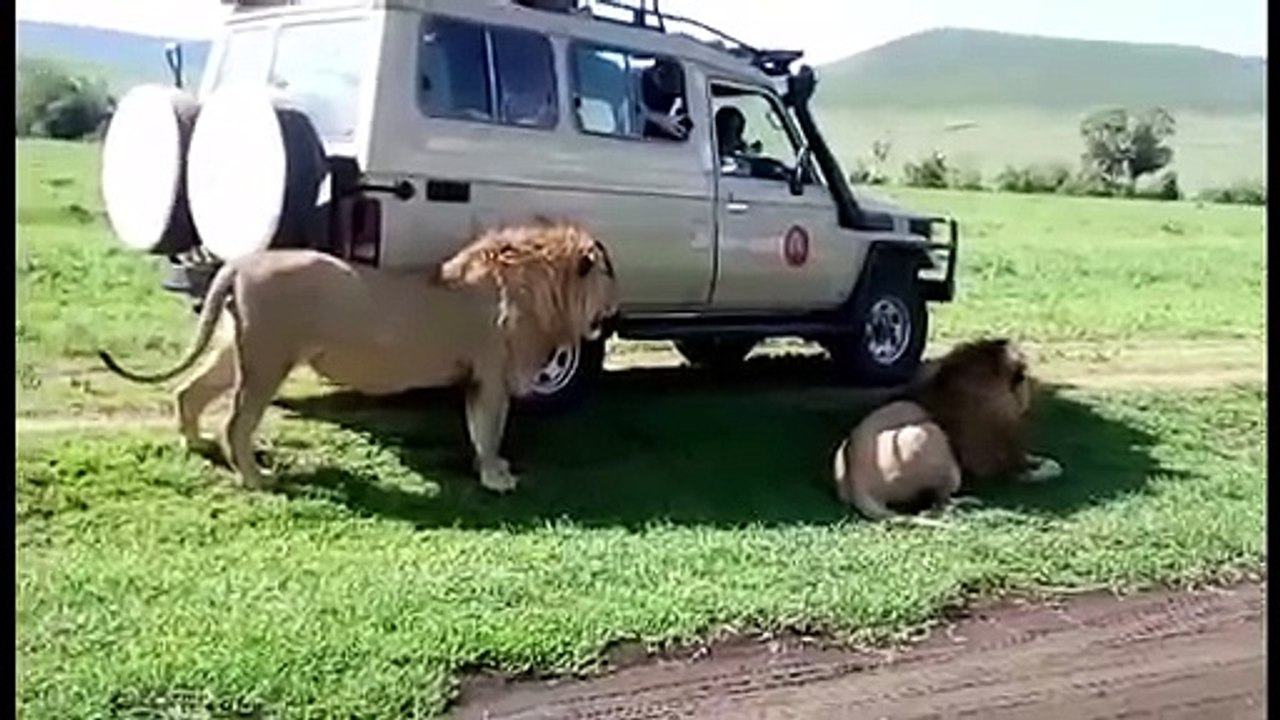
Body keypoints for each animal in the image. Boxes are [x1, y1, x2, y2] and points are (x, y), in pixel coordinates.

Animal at [98, 219, 620, 493]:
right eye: (609, 275)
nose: (615, 309)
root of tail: (240, 264)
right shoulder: (490, 375)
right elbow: (489, 430)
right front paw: (496, 477)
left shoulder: (478, 377)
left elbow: (478, 431)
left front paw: (492, 470)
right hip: (268, 357)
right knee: (237, 422)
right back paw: (258, 478)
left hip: (235, 349)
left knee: (189, 390)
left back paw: (196, 444)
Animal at [833, 337, 1063, 525]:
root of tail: (858, 486)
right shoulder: (999, 465)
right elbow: (1046, 470)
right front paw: (1049, 468)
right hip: (930, 435)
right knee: (937, 504)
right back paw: (970, 502)